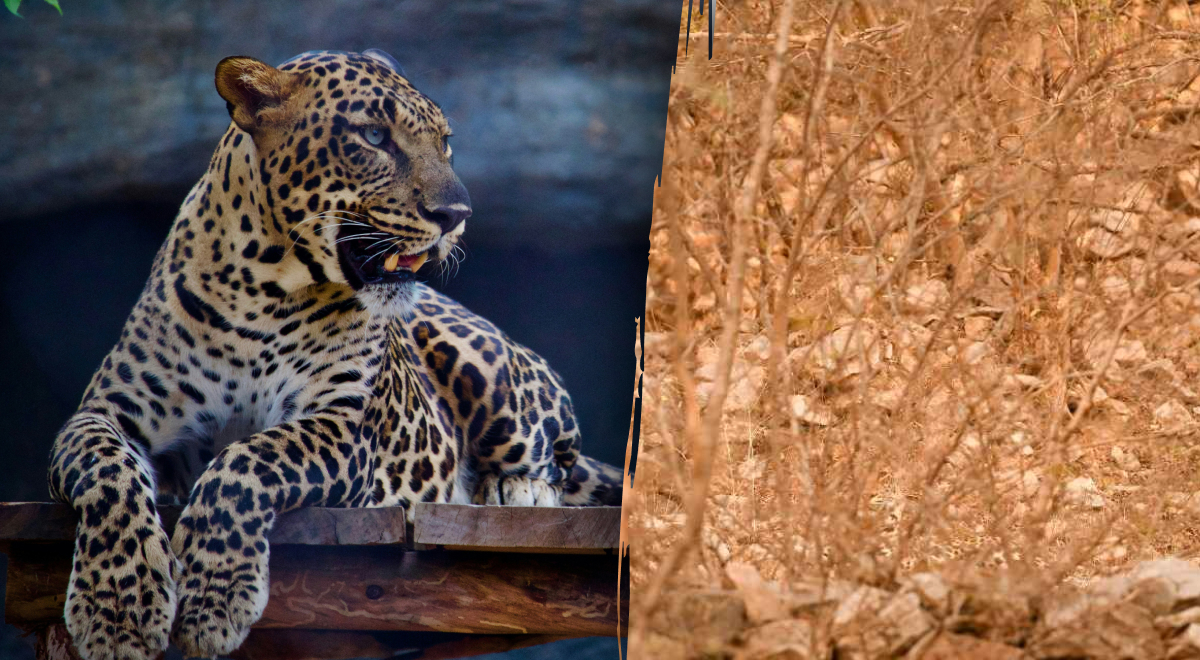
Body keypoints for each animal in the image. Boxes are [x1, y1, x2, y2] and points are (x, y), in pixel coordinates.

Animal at [46, 49, 624, 660]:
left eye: (444, 143)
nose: (456, 214)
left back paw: (514, 488)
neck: (261, 289)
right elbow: (108, 473)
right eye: (373, 136)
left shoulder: (345, 424)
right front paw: (117, 610)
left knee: (557, 451)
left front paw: (213, 600)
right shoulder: (106, 412)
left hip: (491, 368)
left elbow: (246, 462)